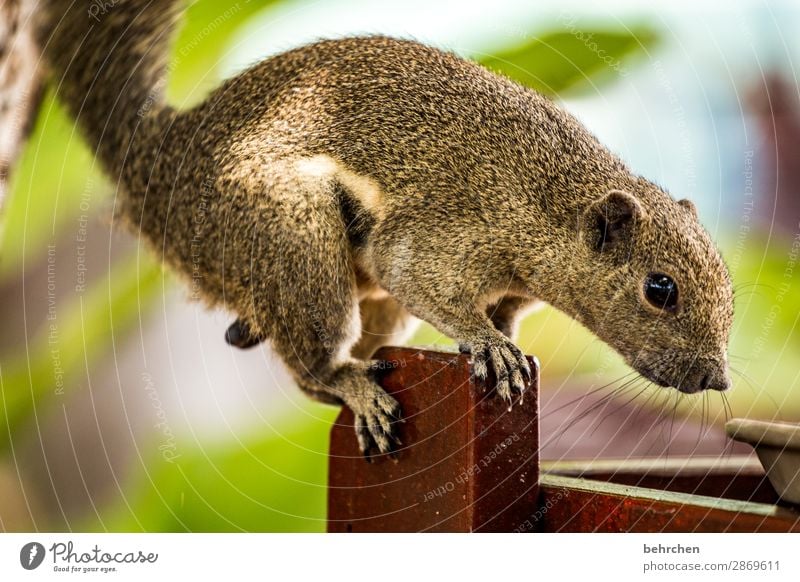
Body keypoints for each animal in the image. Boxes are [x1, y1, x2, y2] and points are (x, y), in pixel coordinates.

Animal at [40, 1, 736, 460]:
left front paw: (510, 344)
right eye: (660, 289)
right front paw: (490, 346)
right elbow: (423, 279)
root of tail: (157, 167)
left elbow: (504, 314)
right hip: (292, 234)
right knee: (311, 361)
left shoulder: (512, 287)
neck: (548, 197)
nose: (717, 380)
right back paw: (353, 385)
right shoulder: (448, 229)